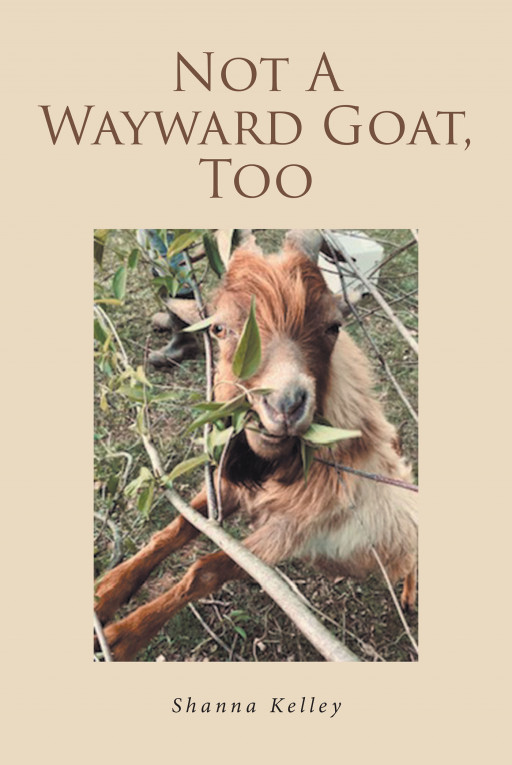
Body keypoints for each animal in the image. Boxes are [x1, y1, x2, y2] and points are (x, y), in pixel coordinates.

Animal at [94, 243, 418, 661]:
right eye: (219, 328)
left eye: (332, 327)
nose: (285, 405)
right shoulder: (232, 485)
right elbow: (176, 529)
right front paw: (106, 592)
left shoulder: (289, 531)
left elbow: (205, 570)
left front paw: (122, 637)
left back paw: (410, 596)